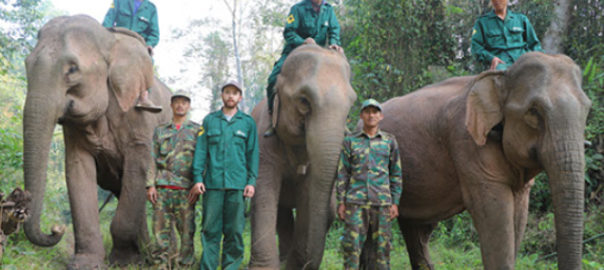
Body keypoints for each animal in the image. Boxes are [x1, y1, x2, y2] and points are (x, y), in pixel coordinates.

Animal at [22, 15, 171, 268]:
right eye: (26, 63)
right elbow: (77, 169)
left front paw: (122, 261)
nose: (56, 229)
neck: (110, 39)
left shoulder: (141, 119)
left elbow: (139, 167)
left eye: (72, 69)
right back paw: (145, 255)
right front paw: (86, 263)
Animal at [370, 51, 592, 268]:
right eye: (534, 111)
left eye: (587, 109)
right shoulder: (467, 142)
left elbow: (518, 216)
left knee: (417, 231)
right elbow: (495, 214)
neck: (501, 78)